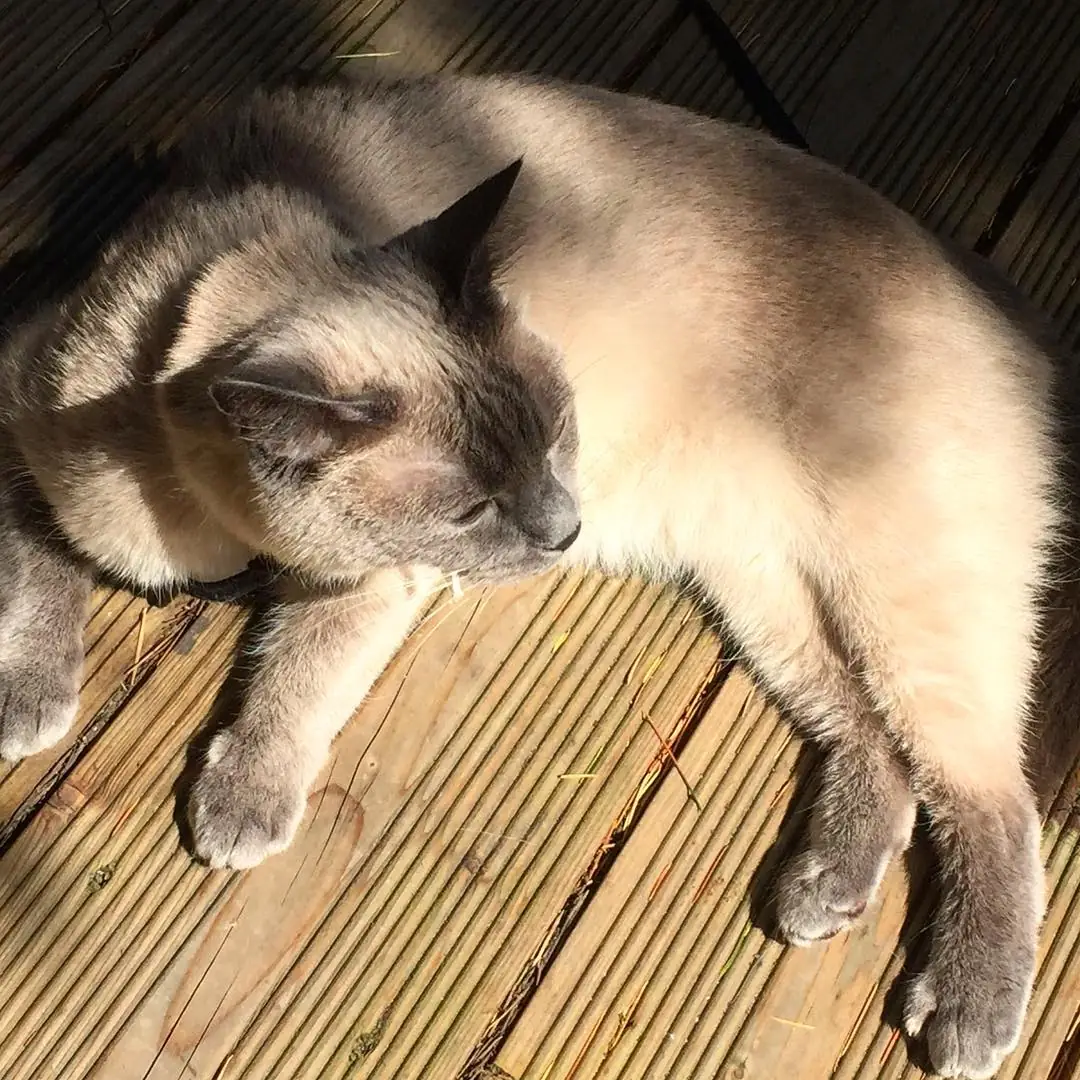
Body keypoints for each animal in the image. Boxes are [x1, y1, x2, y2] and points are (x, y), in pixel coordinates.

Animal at [0, 74, 1064, 1079]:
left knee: (996, 795)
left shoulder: (372, 582)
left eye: (559, 437)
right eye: (473, 508)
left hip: (895, 606)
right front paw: (32, 698)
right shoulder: (23, 424)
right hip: (770, 591)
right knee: (874, 741)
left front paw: (239, 802)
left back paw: (964, 1011)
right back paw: (823, 892)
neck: (223, 536)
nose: (567, 529)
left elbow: (296, 677)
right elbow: (41, 566)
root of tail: (993, 295)